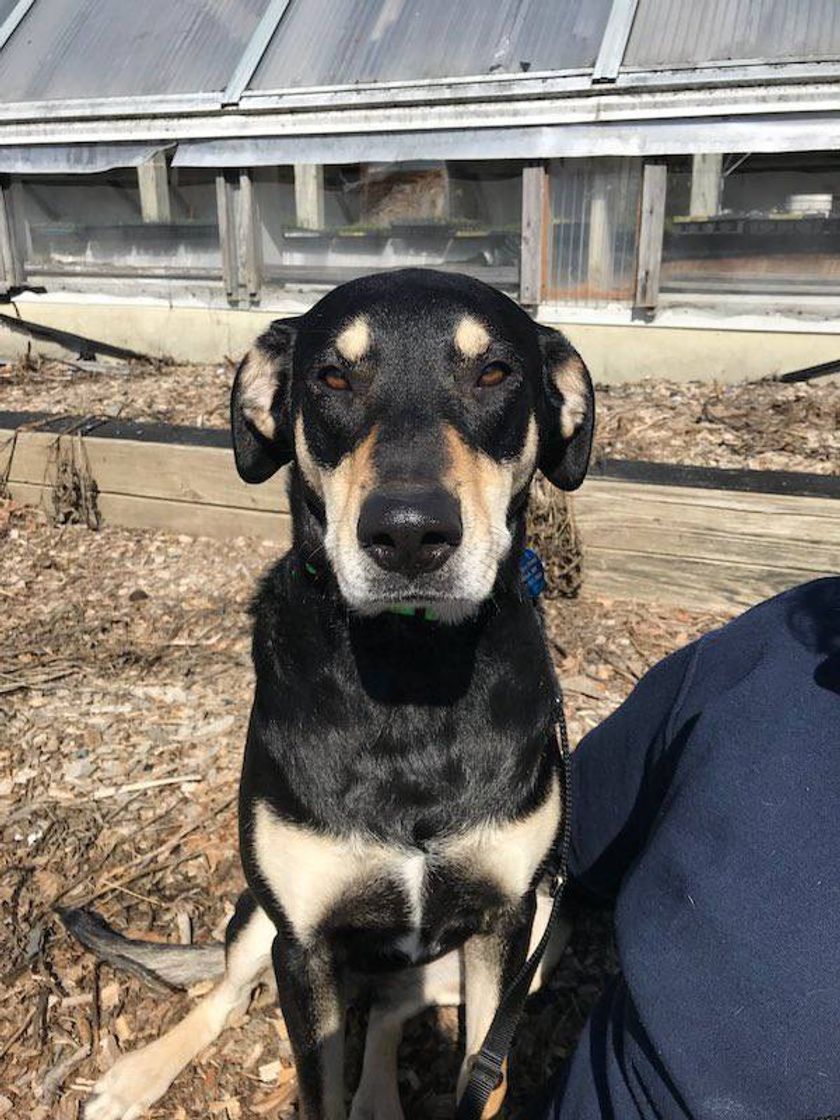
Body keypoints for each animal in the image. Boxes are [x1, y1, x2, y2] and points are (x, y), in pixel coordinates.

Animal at [62, 268, 595, 1120]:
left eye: (495, 373)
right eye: (332, 378)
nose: (408, 535)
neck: (411, 670)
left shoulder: (507, 922)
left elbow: (484, 1075)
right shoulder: (302, 942)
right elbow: (315, 1083)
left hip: (547, 922)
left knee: (390, 1008)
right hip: (259, 919)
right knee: (224, 995)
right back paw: (135, 1076)